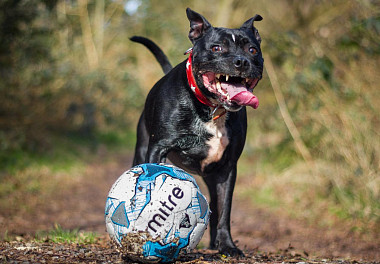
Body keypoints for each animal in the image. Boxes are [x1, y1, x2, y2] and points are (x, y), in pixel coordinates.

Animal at [132, 7, 262, 256]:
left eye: (252, 50)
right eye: (216, 48)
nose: (241, 61)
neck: (211, 109)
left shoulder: (228, 169)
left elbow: (224, 211)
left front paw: (228, 246)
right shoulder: (157, 149)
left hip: (212, 177)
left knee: (215, 208)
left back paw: (214, 244)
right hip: (141, 149)